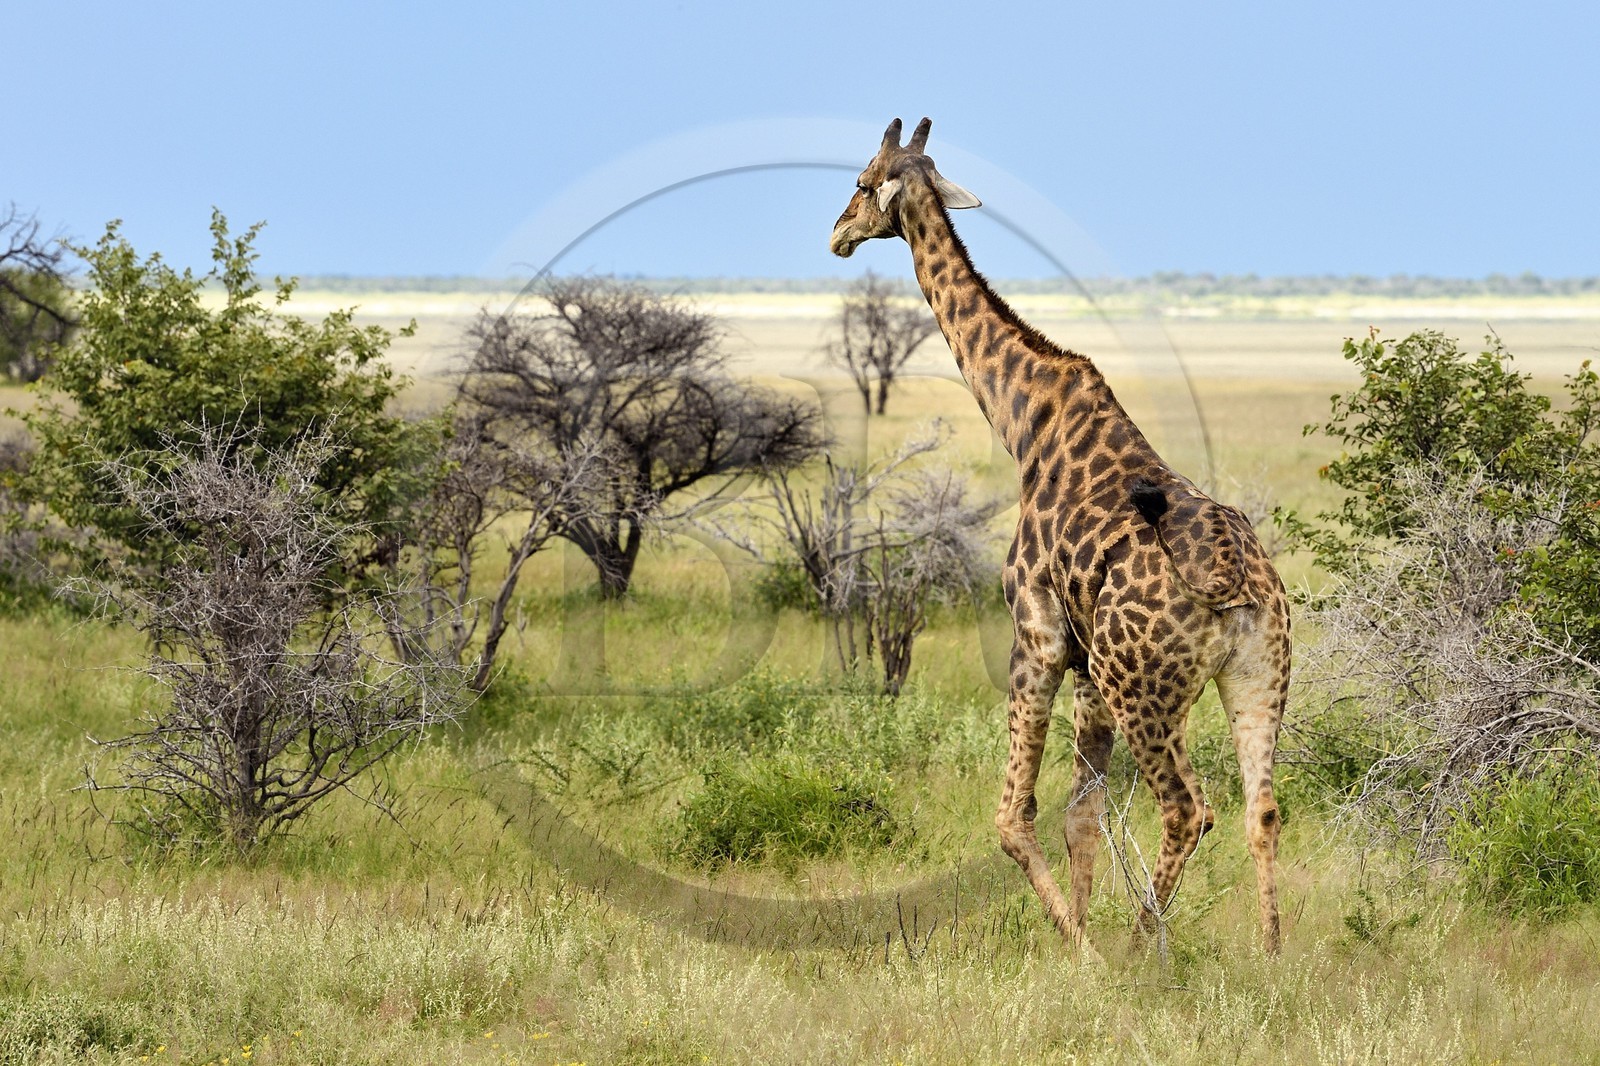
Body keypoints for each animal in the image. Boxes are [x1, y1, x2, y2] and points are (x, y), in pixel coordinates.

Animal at [830, 118, 1292, 956]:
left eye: (860, 181)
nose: (837, 235)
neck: (1022, 421)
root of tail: (1235, 582)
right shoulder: (1083, 668)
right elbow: (1083, 813)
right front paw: (1080, 932)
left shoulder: (1039, 636)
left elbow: (1014, 818)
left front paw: (1078, 945)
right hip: (1254, 675)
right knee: (1259, 810)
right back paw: (1271, 954)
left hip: (1143, 685)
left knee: (1189, 809)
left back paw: (1140, 950)